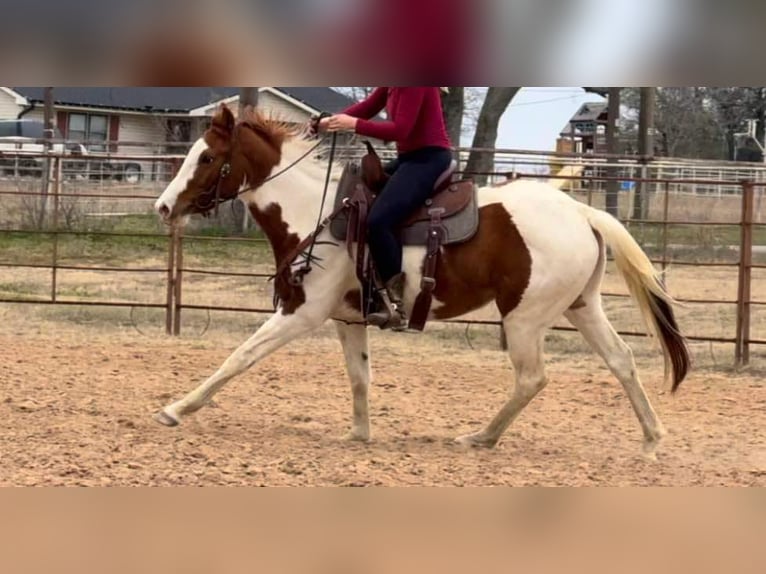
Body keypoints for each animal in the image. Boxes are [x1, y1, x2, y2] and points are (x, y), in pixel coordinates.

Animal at [153, 104, 690, 458]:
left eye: (205, 158)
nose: (162, 206)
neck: (318, 211)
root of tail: (582, 213)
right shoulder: (348, 318)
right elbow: (359, 376)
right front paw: (360, 433)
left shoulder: (301, 312)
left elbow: (240, 357)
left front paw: (177, 407)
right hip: (582, 307)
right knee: (621, 360)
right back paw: (651, 440)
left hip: (524, 318)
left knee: (532, 378)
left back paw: (482, 437)